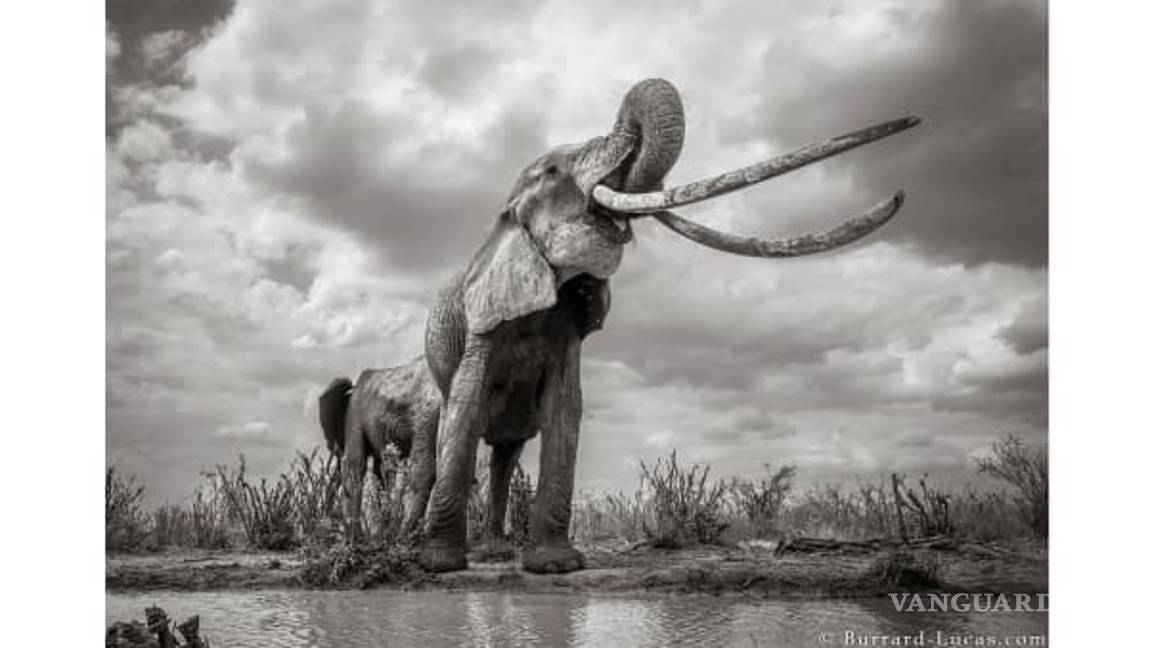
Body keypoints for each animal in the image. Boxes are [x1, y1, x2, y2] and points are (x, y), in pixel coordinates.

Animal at [417, 78, 919, 574]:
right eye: (555, 171)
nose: (913, 121)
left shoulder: (568, 325)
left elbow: (565, 410)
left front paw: (557, 566)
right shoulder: (481, 321)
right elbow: (466, 407)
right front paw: (439, 565)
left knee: (506, 454)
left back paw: (493, 554)